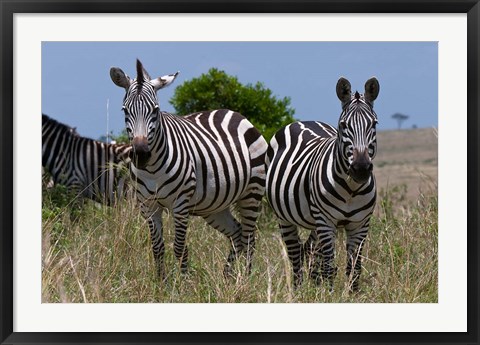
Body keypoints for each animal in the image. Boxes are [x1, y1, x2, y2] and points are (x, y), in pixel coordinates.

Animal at [109, 59, 268, 278]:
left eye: (155, 110)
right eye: (125, 110)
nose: (141, 154)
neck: (152, 170)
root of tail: (235, 114)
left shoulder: (180, 204)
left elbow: (180, 247)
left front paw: (183, 282)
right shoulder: (148, 205)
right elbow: (157, 248)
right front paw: (161, 283)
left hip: (252, 192)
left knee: (250, 238)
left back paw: (245, 278)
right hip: (215, 205)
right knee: (237, 234)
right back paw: (227, 278)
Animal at [266, 76, 378, 290]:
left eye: (374, 124)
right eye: (343, 125)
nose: (360, 168)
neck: (351, 190)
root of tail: (304, 121)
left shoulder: (361, 224)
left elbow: (354, 269)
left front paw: (352, 294)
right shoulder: (326, 222)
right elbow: (328, 266)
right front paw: (329, 293)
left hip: (314, 222)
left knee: (308, 250)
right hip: (284, 217)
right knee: (295, 255)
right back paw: (299, 290)